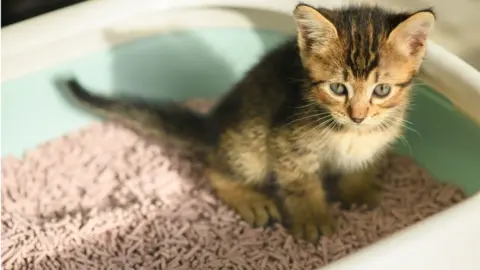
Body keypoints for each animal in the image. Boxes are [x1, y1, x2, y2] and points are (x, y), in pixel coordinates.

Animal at [59, 2, 436, 243]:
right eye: (337, 88)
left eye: (382, 90)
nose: (358, 114)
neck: (350, 132)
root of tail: (212, 126)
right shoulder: (285, 140)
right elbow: (300, 183)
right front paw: (312, 217)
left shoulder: (373, 142)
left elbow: (360, 166)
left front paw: (358, 188)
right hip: (249, 144)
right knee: (213, 168)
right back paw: (249, 197)